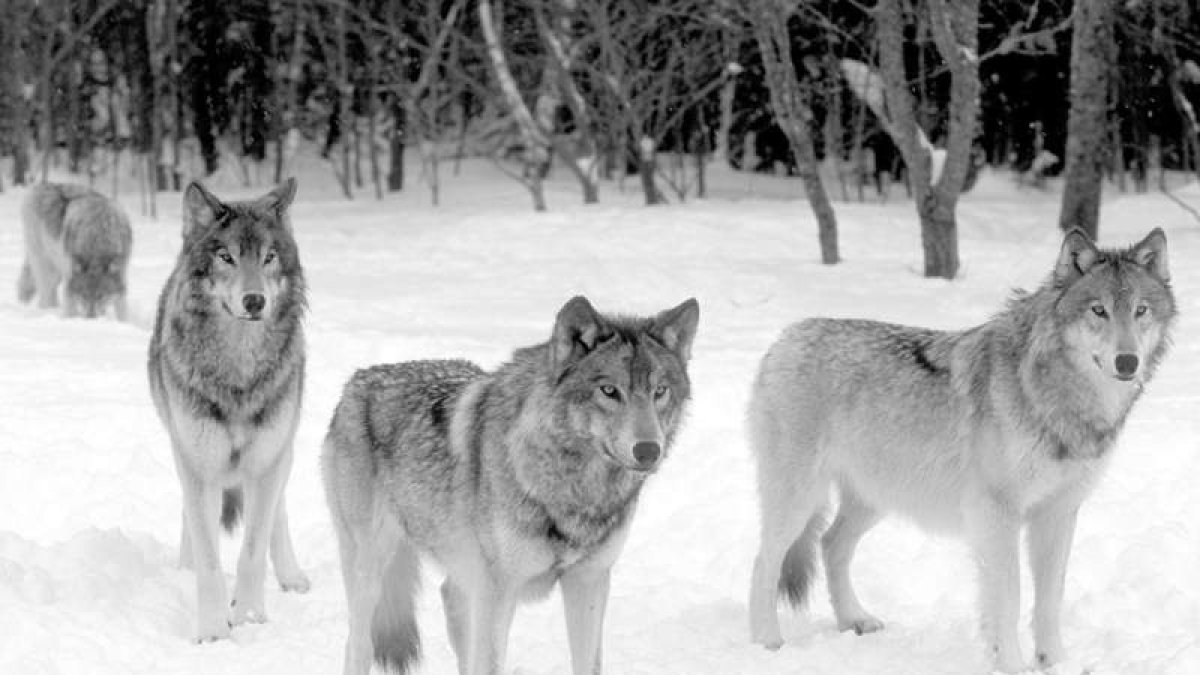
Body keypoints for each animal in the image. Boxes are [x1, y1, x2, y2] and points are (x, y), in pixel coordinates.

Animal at [17, 182, 132, 319]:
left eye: (101, 296)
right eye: (83, 295)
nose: (91, 318)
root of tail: (42, 185)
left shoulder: (122, 273)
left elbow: (122, 309)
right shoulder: (69, 277)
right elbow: (70, 307)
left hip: (56, 270)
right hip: (47, 268)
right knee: (45, 296)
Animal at [147, 179, 311, 642]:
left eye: (269, 257)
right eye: (227, 257)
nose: (254, 300)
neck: (239, 369)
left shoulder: (267, 459)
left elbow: (252, 552)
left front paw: (251, 618)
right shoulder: (197, 462)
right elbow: (209, 560)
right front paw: (213, 631)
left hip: (281, 449)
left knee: (277, 513)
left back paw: (291, 576)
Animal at [322, 295, 699, 675]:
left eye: (660, 391)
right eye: (609, 391)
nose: (649, 450)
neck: (574, 493)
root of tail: (357, 380)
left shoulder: (588, 581)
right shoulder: (498, 592)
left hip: (462, 581)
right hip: (372, 571)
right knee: (356, 644)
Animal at [747, 228, 1175, 672]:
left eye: (1140, 310)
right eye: (1098, 310)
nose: (1127, 362)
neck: (1057, 399)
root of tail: (786, 338)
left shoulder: (1058, 514)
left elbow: (1049, 600)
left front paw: (1055, 663)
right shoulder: (996, 514)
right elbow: (1010, 598)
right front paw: (1013, 665)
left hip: (875, 498)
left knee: (830, 544)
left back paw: (854, 619)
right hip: (800, 500)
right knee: (764, 562)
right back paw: (768, 643)